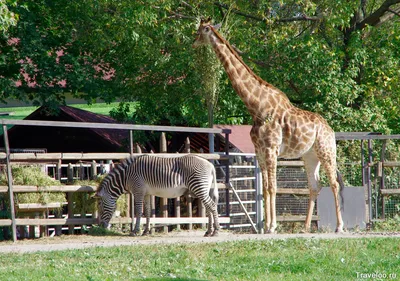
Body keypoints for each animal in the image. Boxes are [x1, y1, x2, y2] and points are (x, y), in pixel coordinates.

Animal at [194, 18, 344, 232]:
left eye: (202, 30)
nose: (193, 42)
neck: (256, 107)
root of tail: (330, 129)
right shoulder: (259, 151)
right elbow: (264, 188)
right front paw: (265, 227)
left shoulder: (271, 149)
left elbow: (273, 187)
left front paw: (272, 226)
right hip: (310, 155)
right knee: (315, 186)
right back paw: (305, 227)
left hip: (326, 151)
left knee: (334, 183)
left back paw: (339, 226)